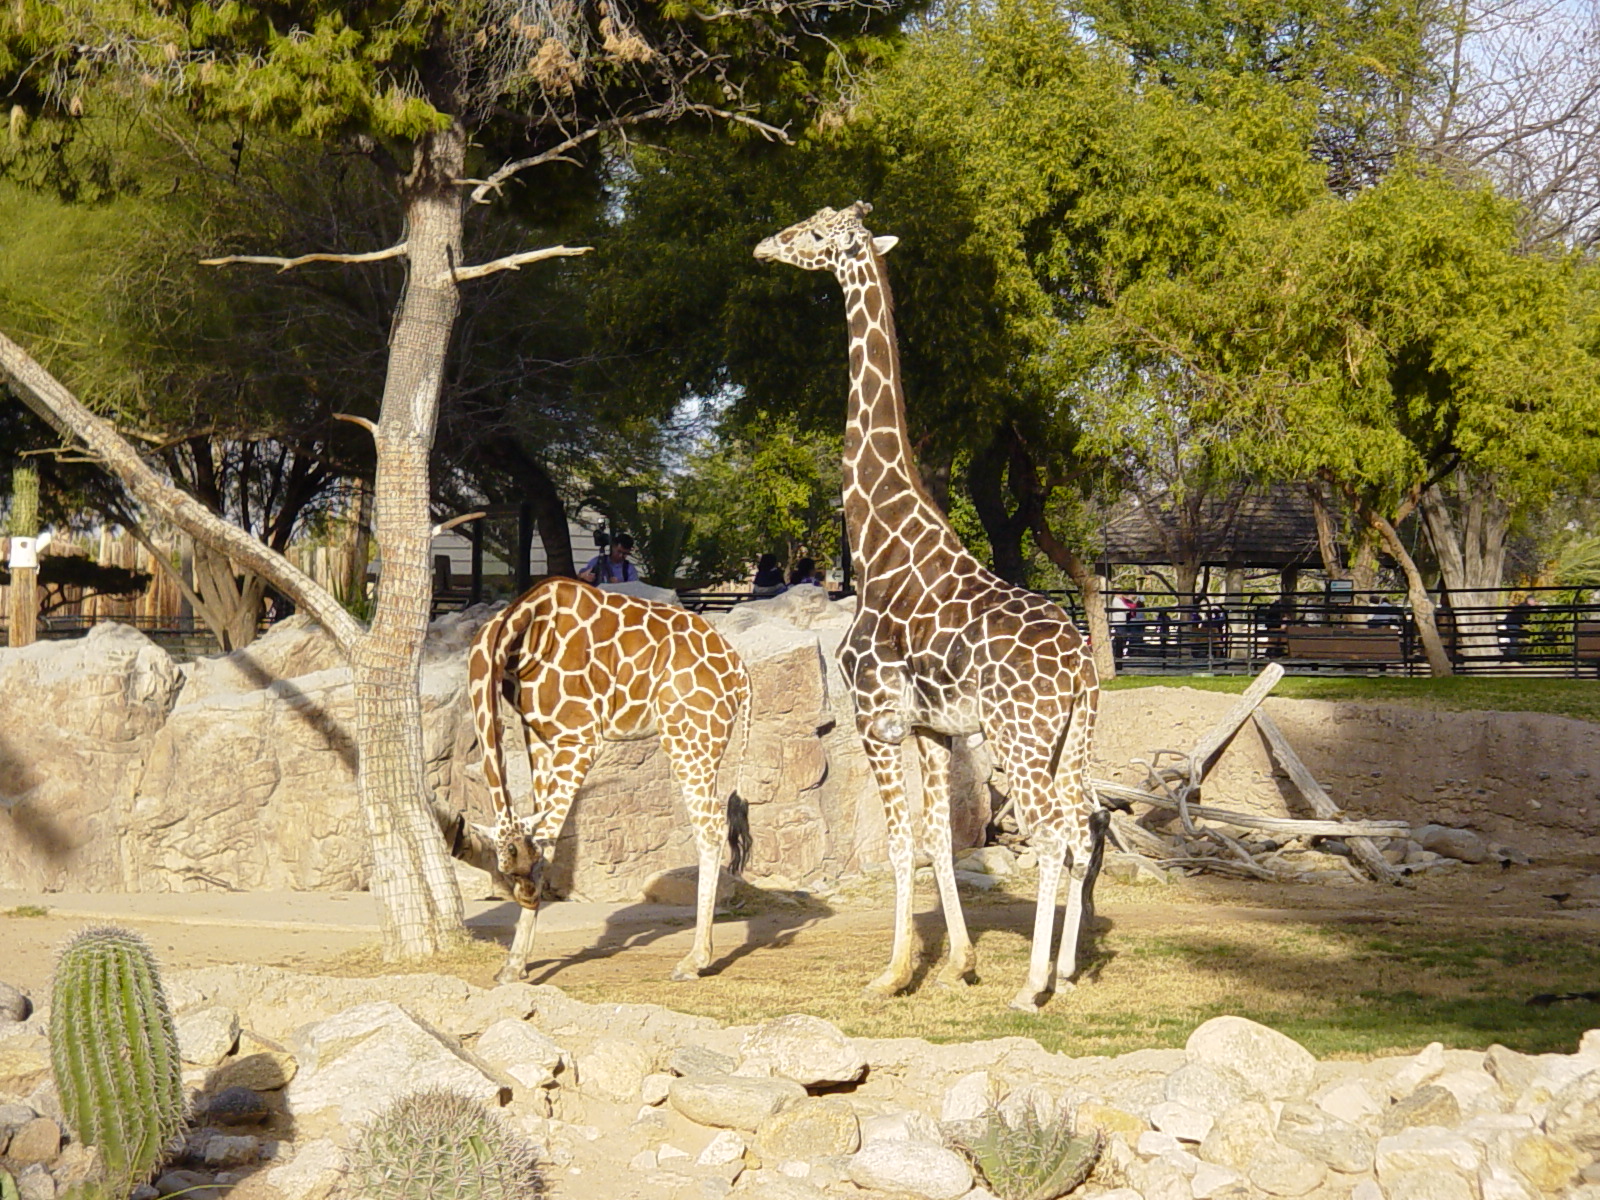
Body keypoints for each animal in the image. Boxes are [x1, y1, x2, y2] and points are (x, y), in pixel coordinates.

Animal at [464, 576, 752, 984]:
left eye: (528, 865)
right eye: (505, 871)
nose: (529, 896)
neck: (518, 634)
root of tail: (741, 674)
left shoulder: (579, 738)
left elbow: (551, 836)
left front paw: (516, 964)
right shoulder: (537, 732)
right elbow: (543, 828)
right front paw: (515, 963)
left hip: (690, 735)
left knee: (710, 826)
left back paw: (693, 961)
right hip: (700, 740)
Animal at [756, 202, 1101, 1011]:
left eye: (814, 232)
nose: (764, 245)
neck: (878, 539)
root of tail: (1081, 666)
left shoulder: (875, 718)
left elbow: (898, 842)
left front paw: (892, 973)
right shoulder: (935, 730)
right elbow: (940, 837)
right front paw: (960, 962)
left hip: (1020, 739)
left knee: (1052, 834)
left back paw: (1031, 986)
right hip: (1072, 740)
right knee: (1081, 829)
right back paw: (1067, 973)